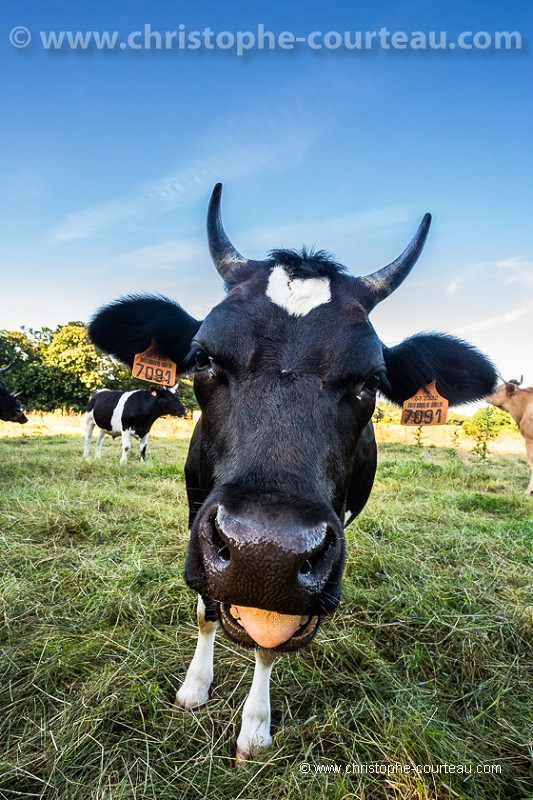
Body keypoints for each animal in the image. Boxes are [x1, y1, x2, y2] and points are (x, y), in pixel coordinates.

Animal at [88, 184, 498, 760]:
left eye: (372, 381)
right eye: (203, 358)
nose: (265, 553)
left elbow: (270, 638)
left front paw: (255, 726)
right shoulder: (196, 512)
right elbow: (205, 610)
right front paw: (195, 685)